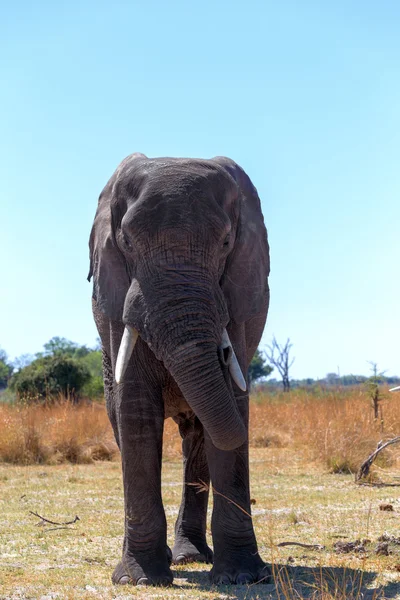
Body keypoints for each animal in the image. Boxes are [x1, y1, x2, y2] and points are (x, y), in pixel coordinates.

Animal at [87, 154, 268, 584]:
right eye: (127, 242)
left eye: (225, 243)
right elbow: (136, 412)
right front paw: (139, 578)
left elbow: (230, 405)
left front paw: (243, 577)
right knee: (122, 426)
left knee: (199, 439)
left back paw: (190, 557)